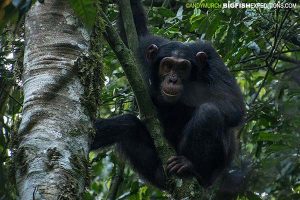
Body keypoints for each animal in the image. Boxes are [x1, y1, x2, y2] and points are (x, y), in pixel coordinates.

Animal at [91, 0, 244, 189]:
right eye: (168, 65)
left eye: (183, 68)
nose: (172, 80)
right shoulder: (145, 47)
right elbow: (133, 28)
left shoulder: (212, 57)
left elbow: (232, 102)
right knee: (128, 125)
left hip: (211, 173)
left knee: (210, 113)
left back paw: (190, 167)